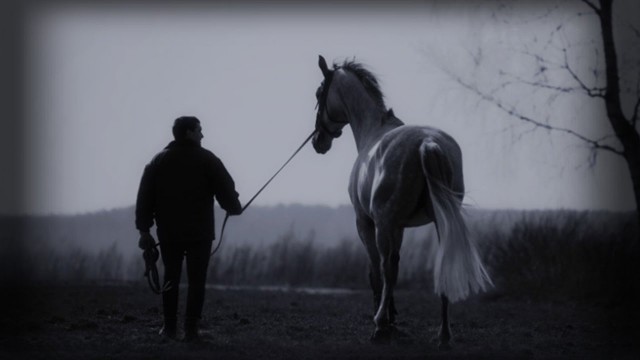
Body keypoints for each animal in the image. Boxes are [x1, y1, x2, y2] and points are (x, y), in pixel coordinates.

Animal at [312, 55, 492, 346]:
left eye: (319, 93)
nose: (318, 141)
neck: (373, 131)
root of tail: (428, 143)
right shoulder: (399, 226)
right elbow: (395, 264)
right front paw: (393, 316)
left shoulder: (367, 223)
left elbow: (378, 270)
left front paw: (385, 319)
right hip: (439, 221)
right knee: (439, 264)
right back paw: (443, 333)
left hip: (384, 223)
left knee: (386, 268)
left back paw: (380, 325)